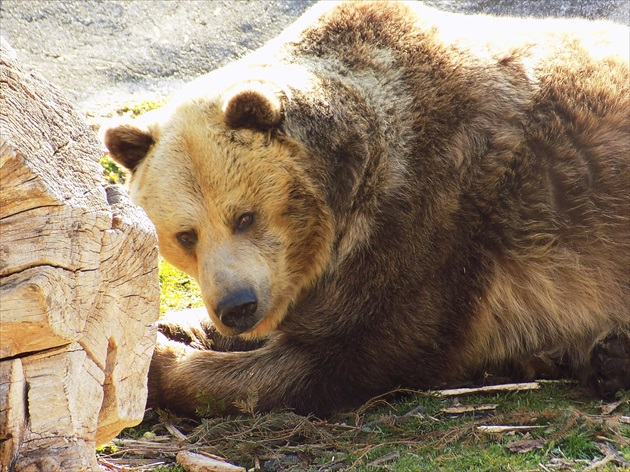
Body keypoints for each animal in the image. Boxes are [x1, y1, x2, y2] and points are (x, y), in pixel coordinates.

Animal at [106, 0, 628, 416]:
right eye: (185, 235)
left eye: (245, 216)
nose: (237, 306)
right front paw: (171, 328)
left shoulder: (434, 223)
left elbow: (345, 356)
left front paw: (160, 364)